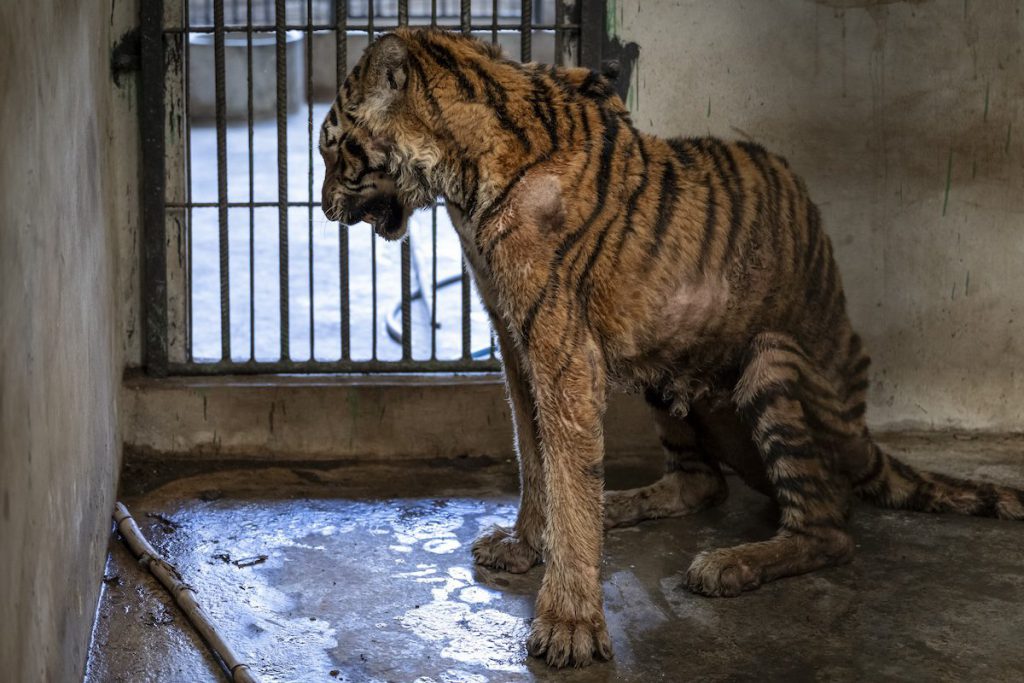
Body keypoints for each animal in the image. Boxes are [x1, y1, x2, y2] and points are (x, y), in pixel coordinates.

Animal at [319, 27, 1024, 668]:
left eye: (331, 150)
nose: (322, 208)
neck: (460, 174)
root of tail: (864, 433)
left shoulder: (562, 352)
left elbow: (564, 472)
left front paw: (569, 624)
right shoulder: (516, 343)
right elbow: (534, 457)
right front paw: (527, 545)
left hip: (772, 362)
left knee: (829, 527)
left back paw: (729, 564)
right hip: (669, 358)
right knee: (700, 482)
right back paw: (620, 506)